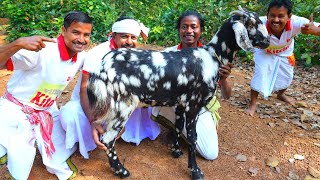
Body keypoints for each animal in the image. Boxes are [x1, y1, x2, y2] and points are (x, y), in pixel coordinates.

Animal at [87, 7, 270, 180]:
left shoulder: (181, 104)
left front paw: (176, 151)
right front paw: (195, 171)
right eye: (253, 23)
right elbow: (193, 137)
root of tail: (103, 66)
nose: (268, 41)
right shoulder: (194, 105)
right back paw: (121, 171)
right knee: (108, 139)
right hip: (124, 106)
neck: (212, 56)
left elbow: (178, 126)